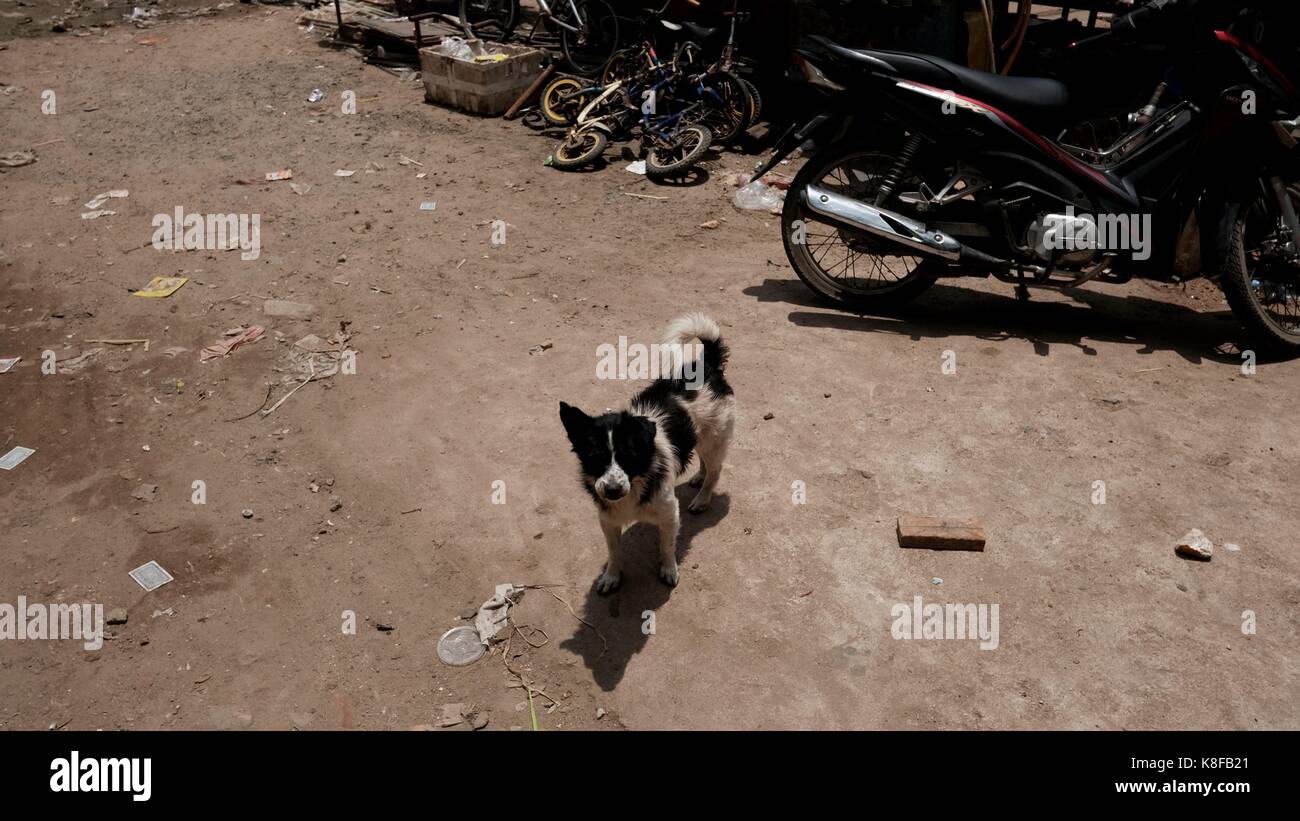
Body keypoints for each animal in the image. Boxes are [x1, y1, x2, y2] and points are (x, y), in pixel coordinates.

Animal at [561, 313, 738, 589]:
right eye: (594, 457)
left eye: (629, 456)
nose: (612, 490)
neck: (637, 480)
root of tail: (708, 365)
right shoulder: (608, 520)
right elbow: (614, 550)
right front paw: (612, 576)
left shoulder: (669, 513)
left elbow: (667, 546)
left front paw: (668, 569)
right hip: (700, 436)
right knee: (703, 461)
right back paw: (698, 478)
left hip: (714, 440)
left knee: (715, 471)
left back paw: (702, 498)